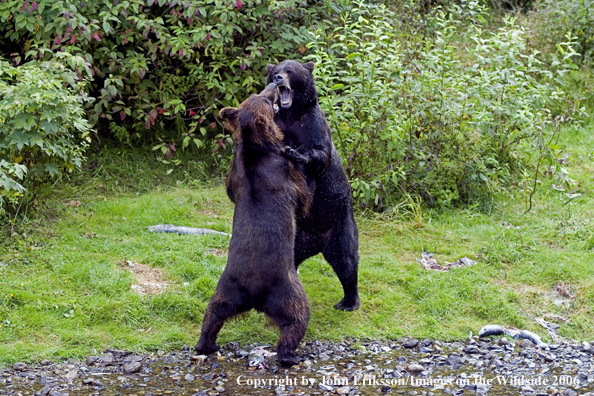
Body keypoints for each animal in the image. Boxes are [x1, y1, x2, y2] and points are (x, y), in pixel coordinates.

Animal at [195, 82, 314, 366]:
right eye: (264, 98)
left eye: (255, 94)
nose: (274, 84)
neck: (258, 146)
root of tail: (255, 293)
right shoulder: (284, 171)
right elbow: (304, 198)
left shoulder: (235, 172)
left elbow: (230, 189)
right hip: (286, 286)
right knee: (297, 316)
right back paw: (290, 355)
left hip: (227, 287)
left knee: (212, 313)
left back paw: (206, 344)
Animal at [266, 59, 358, 312]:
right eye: (276, 69)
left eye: (290, 70)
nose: (278, 77)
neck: (291, 114)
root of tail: (317, 241)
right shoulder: (278, 123)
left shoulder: (312, 124)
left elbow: (318, 153)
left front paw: (297, 153)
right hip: (297, 236)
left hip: (339, 226)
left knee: (347, 261)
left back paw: (348, 301)